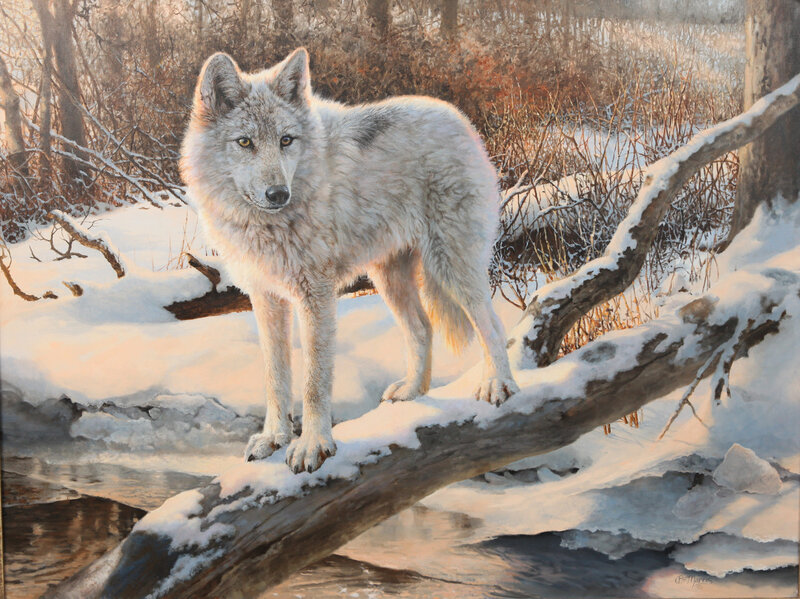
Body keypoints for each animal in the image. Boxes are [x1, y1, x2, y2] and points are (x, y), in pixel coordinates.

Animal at [180, 48, 519, 473]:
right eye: (244, 142)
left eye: (286, 140)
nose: (278, 194)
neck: (269, 225)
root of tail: (457, 117)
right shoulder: (266, 298)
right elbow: (275, 377)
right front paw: (273, 439)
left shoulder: (316, 297)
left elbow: (314, 381)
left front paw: (313, 446)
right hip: (389, 277)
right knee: (422, 327)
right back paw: (414, 391)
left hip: (452, 265)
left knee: (491, 323)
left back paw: (499, 386)